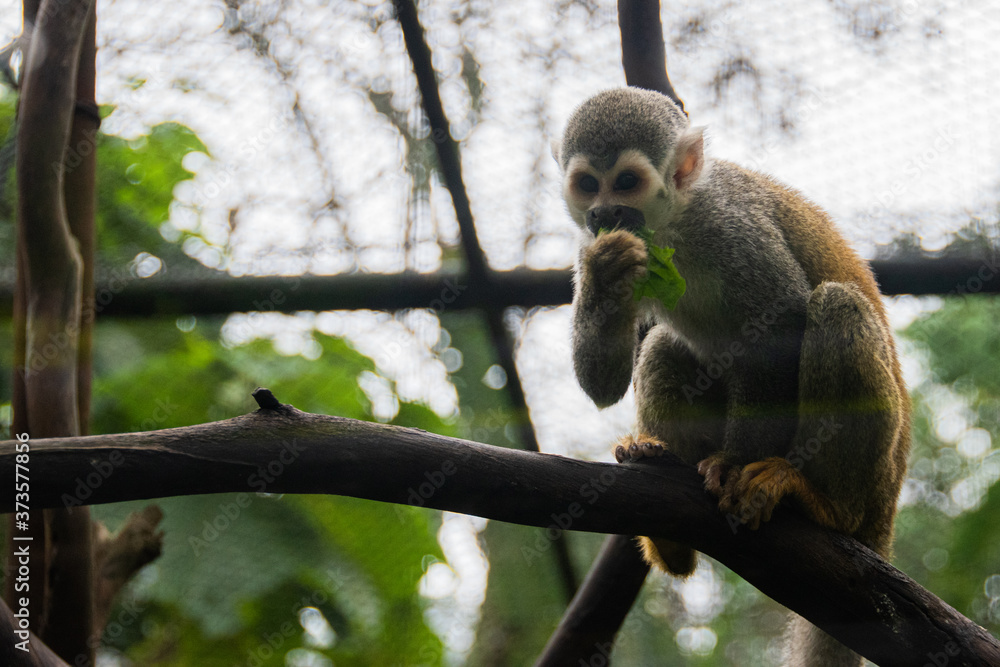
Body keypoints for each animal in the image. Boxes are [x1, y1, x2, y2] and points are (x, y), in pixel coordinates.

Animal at [555, 87, 909, 667]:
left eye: (625, 181)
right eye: (588, 184)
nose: (603, 211)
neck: (676, 221)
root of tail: (886, 518)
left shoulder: (733, 230)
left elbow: (781, 325)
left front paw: (733, 466)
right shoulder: (599, 244)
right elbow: (602, 383)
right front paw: (605, 274)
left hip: (876, 484)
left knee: (836, 307)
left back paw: (823, 504)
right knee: (665, 345)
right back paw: (670, 512)